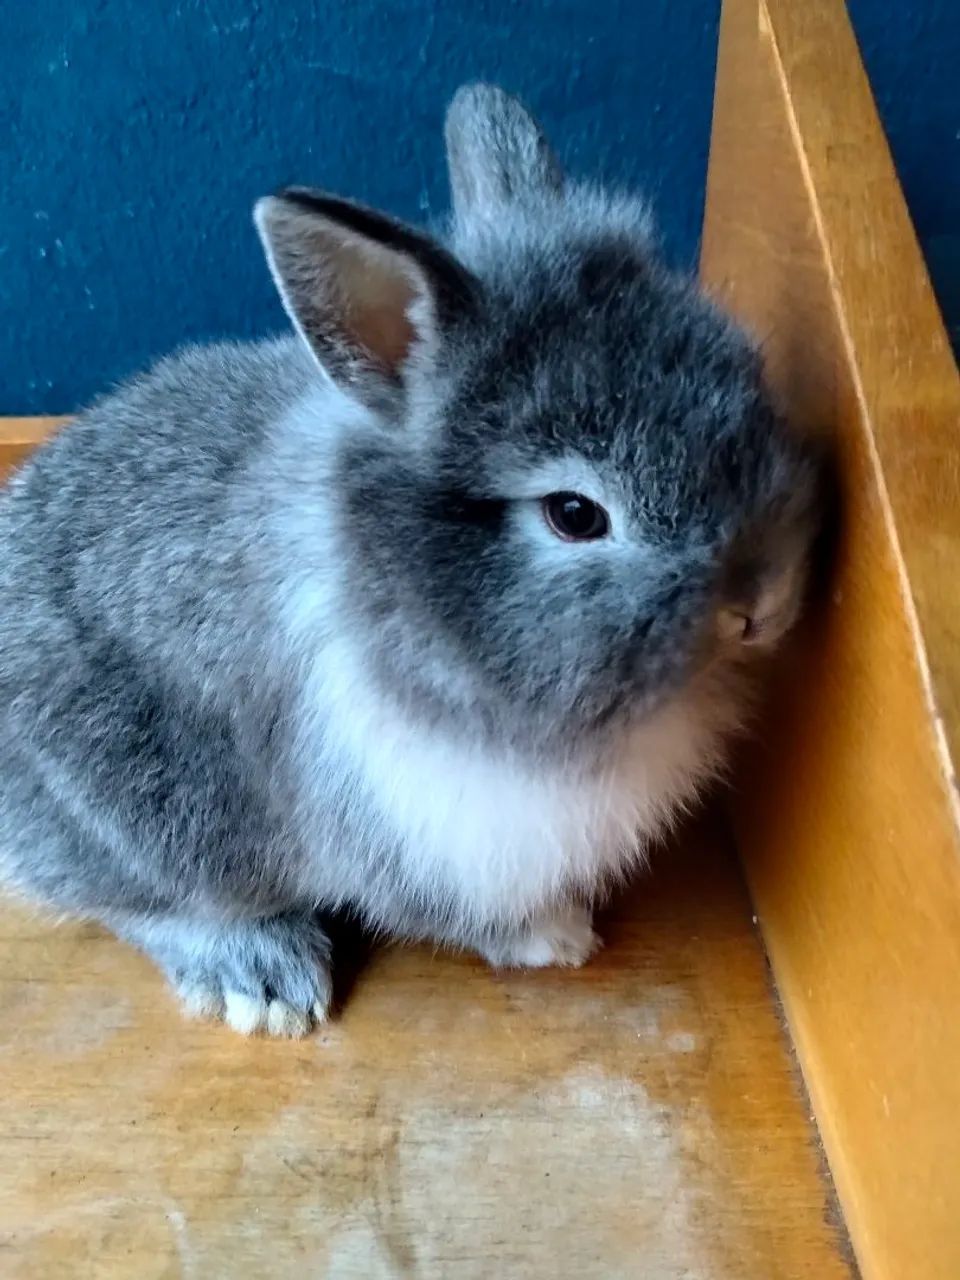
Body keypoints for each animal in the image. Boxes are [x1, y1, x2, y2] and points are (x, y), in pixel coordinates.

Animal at [0, 85, 822, 1037]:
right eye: (575, 514)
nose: (764, 601)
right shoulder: (411, 823)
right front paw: (558, 938)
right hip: (137, 810)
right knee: (141, 899)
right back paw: (262, 979)